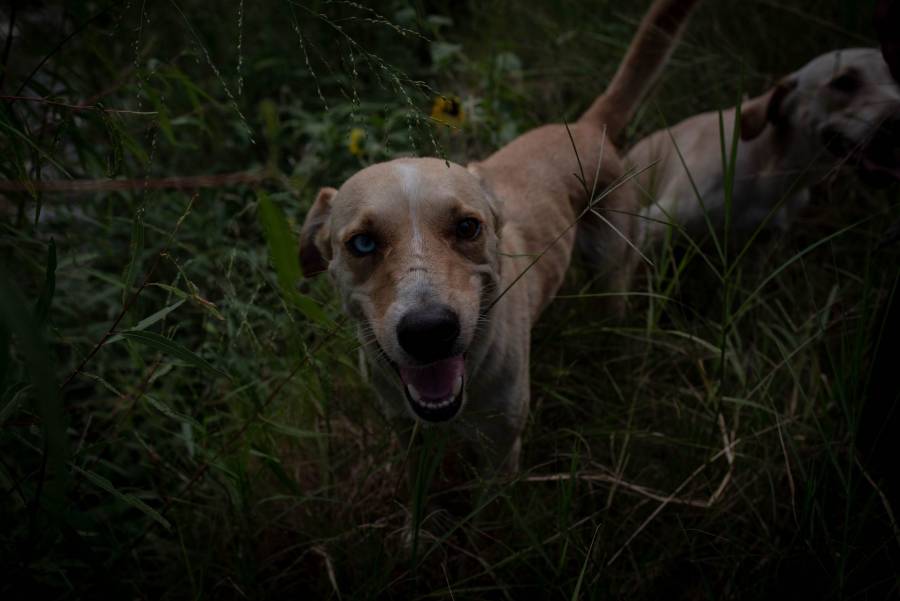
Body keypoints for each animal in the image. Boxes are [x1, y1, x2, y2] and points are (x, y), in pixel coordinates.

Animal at [298, 0, 700, 472]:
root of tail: (587, 126)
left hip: (611, 265)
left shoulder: (501, 448)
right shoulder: (404, 431)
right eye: (362, 243)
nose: (428, 331)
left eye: (468, 227)